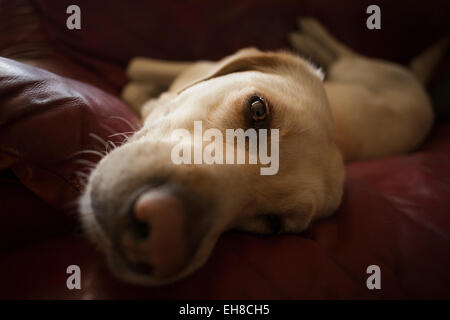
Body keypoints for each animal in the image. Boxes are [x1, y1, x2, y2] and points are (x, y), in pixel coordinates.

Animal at [78, 18, 446, 286]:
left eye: (273, 224)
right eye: (258, 109)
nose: (164, 233)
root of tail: (419, 87)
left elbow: (133, 83)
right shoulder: (192, 64)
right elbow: (136, 67)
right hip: (355, 71)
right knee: (346, 56)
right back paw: (310, 37)